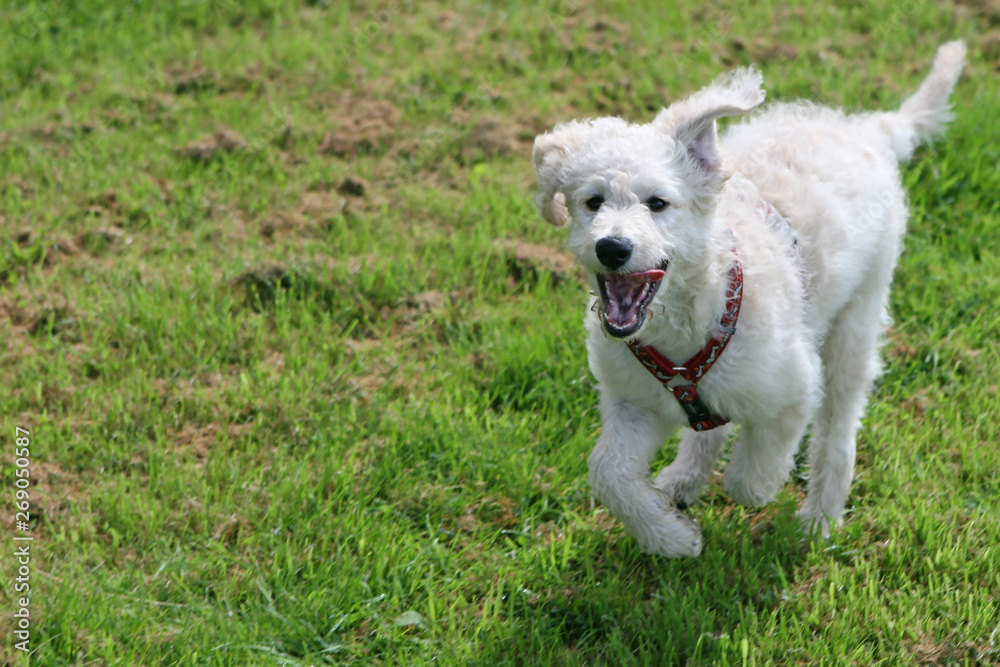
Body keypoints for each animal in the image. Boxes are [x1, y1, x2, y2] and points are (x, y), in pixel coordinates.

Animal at [536, 39, 964, 556]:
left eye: (658, 203)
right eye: (592, 201)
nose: (612, 248)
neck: (691, 321)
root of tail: (867, 129)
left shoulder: (796, 387)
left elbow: (750, 478)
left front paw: (742, 491)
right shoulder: (633, 401)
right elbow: (608, 471)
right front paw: (672, 538)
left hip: (857, 319)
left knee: (838, 429)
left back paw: (821, 517)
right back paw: (682, 481)